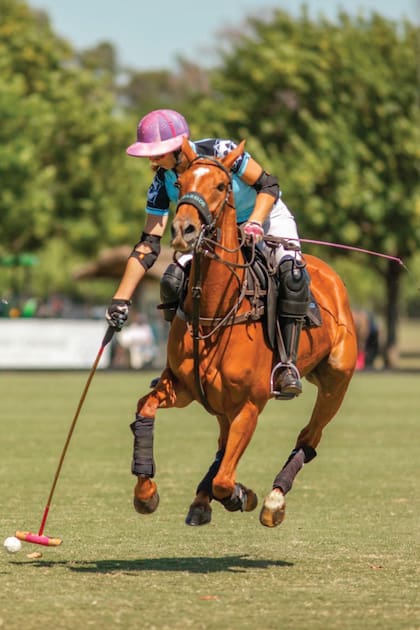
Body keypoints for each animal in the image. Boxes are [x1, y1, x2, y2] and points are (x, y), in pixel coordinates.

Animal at [132, 138, 358, 528]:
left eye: (222, 186)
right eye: (181, 183)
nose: (184, 230)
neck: (214, 311)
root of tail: (329, 274)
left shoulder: (250, 405)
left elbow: (225, 479)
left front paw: (242, 495)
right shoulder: (184, 387)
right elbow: (145, 408)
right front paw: (146, 494)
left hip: (336, 380)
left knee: (309, 436)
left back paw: (273, 500)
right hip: (220, 403)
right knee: (223, 446)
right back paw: (201, 500)